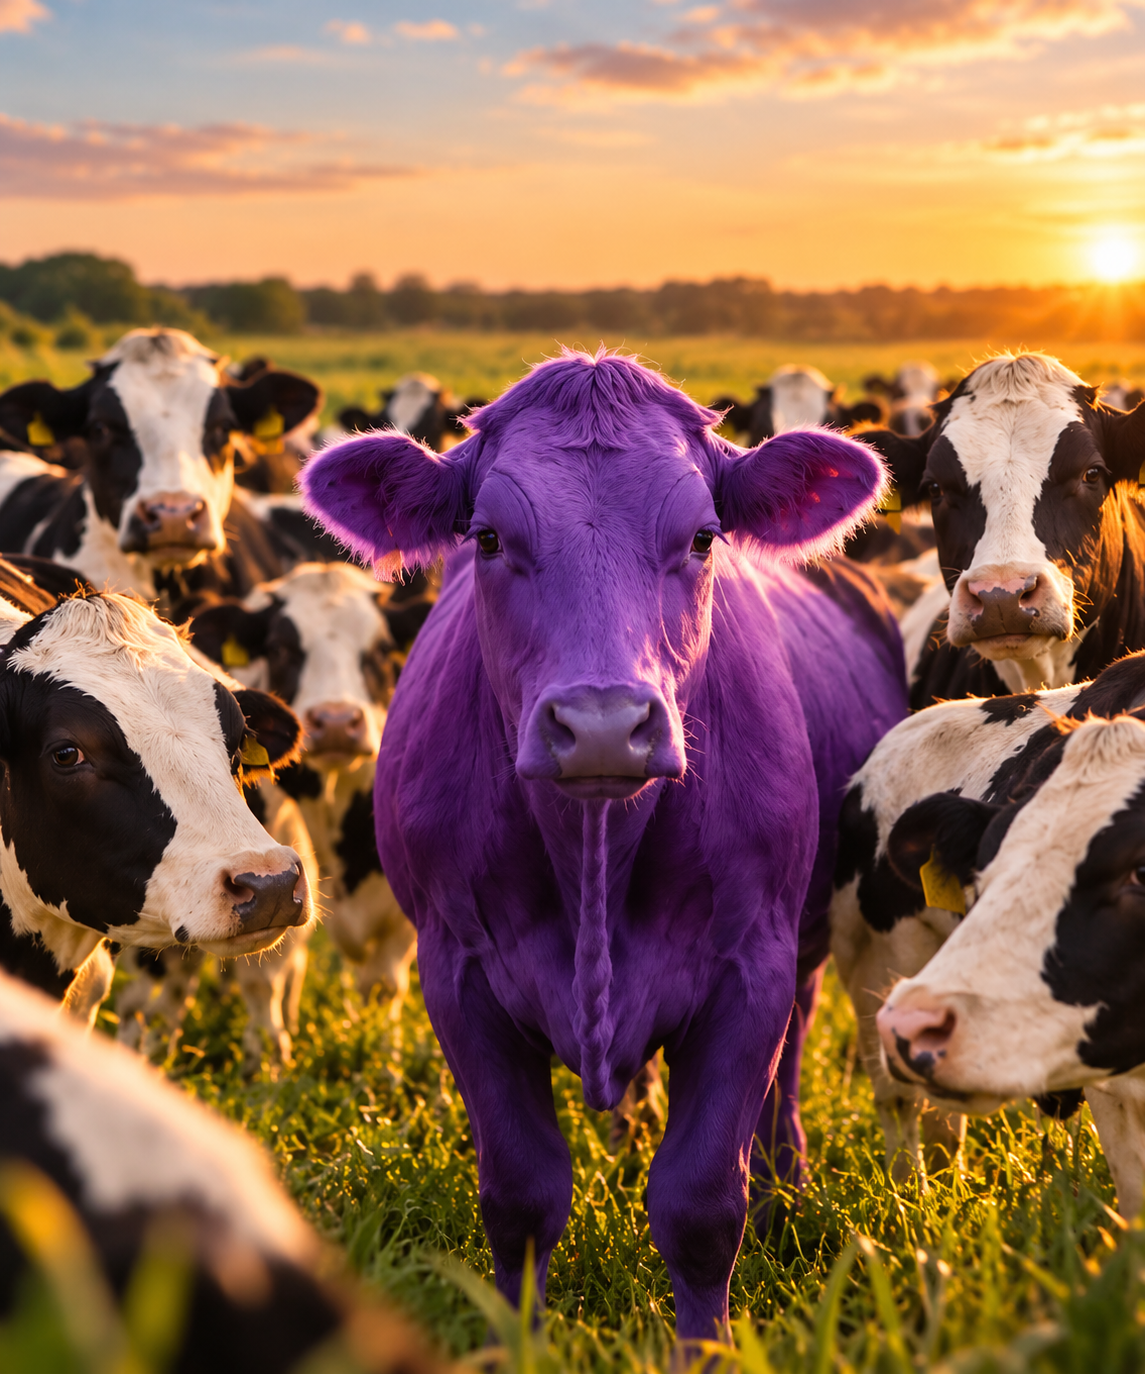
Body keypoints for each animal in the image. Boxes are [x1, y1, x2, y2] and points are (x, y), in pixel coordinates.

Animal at [299, 348, 908, 1347]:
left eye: (702, 538)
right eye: (488, 538)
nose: (598, 726)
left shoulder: (753, 966)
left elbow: (701, 1202)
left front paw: (706, 1350)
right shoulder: (456, 971)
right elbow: (521, 1194)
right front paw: (517, 1344)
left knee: (786, 1072)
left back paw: (785, 1183)